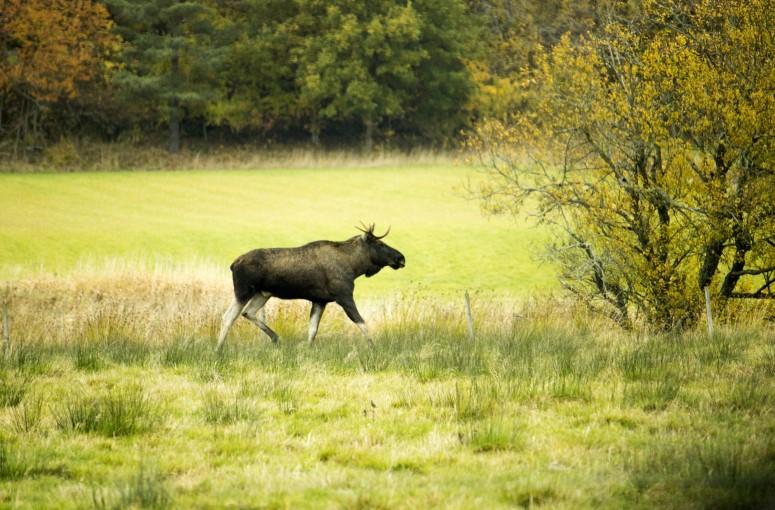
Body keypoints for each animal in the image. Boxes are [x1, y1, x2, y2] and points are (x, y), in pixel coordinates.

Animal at [214, 224, 404, 350]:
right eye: (380, 244)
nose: (401, 258)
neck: (354, 266)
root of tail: (233, 264)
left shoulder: (320, 300)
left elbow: (312, 331)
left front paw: (308, 350)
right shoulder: (344, 296)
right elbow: (361, 321)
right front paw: (374, 347)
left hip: (262, 294)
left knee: (248, 312)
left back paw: (276, 337)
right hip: (244, 291)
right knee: (228, 316)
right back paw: (219, 349)